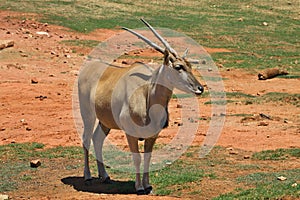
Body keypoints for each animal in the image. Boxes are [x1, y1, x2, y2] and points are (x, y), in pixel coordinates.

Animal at [78, 18, 204, 194]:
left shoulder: (152, 135)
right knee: (86, 138)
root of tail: (87, 69)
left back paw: (105, 176)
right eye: (178, 66)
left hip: (105, 121)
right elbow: (137, 157)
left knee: (97, 139)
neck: (147, 93)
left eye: (190, 66)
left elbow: (147, 157)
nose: (200, 88)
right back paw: (88, 177)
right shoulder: (130, 133)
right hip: (88, 114)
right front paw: (138, 187)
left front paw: (148, 185)